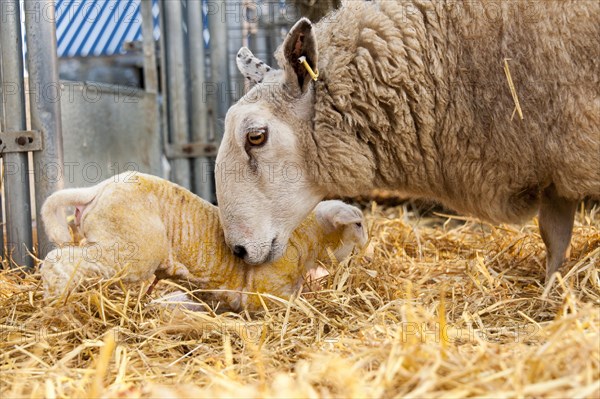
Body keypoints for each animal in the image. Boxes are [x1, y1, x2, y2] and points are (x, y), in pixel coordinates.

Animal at [39, 173, 368, 310]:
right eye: (358, 225)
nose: (361, 253)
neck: (305, 236)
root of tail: (98, 189)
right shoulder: (267, 293)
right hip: (129, 251)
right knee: (58, 261)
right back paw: (57, 303)